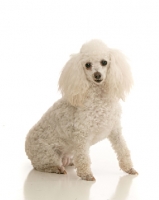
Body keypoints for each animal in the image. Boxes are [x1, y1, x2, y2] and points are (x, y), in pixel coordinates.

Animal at [25, 39, 138, 181]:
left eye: (104, 62)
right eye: (87, 65)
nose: (97, 75)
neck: (100, 98)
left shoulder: (115, 130)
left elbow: (123, 149)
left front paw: (129, 169)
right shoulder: (82, 134)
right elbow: (83, 157)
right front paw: (86, 175)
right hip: (46, 154)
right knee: (42, 166)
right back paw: (57, 169)